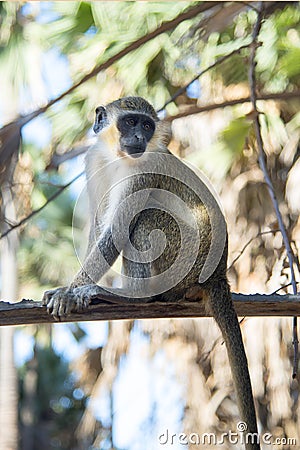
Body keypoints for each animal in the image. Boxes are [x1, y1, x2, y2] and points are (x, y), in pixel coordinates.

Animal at [42, 96, 260, 450]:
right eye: (131, 122)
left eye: (147, 126)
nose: (139, 138)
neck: (115, 156)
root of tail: (218, 276)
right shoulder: (93, 161)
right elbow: (100, 226)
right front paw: (72, 287)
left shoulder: (144, 171)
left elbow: (117, 229)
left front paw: (69, 292)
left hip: (184, 259)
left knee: (147, 215)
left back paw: (132, 295)